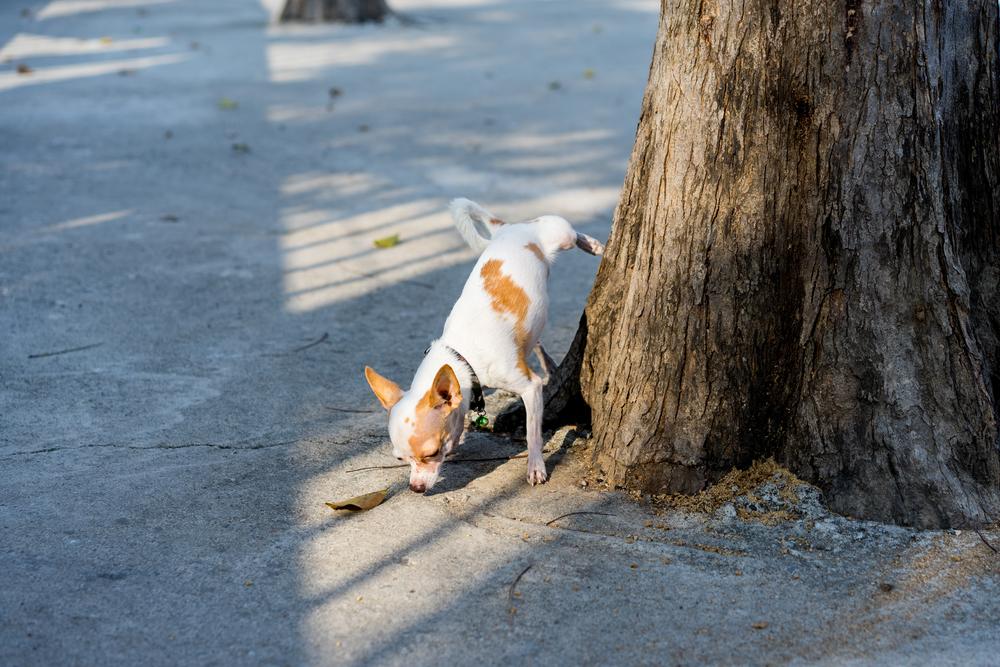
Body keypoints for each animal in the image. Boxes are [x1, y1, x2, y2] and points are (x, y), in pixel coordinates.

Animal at [366, 197, 604, 490]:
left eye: (432, 453)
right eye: (400, 459)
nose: (416, 488)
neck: (463, 355)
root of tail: (510, 228)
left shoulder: (531, 388)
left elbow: (532, 433)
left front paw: (536, 466)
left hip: (559, 234)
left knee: (570, 232)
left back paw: (593, 244)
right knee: (535, 341)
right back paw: (548, 363)